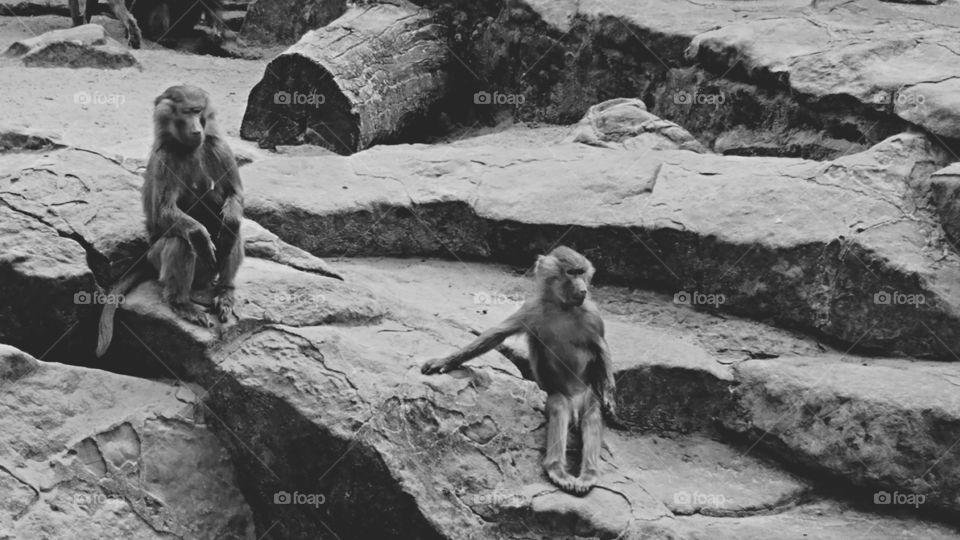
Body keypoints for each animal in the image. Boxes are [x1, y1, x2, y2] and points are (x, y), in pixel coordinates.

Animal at [96, 85, 243, 357]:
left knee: (234, 230)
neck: (188, 148)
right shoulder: (164, 157)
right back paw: (182, 304)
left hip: (209, 272)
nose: (197, 130)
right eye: (186, 112)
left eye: (198, 111)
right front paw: (200, 235)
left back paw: (225, 293)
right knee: (180, 241)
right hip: (158, 259)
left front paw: (228, 221)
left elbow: (234, 195)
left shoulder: (220, 146)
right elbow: (164, 212)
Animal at [421, 246, 619, 495]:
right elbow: (495, 335)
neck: (562, 306)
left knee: (593, 414)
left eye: (582, 272)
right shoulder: (531, 309)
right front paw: (444, 361)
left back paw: (588, 475)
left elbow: (601, 348)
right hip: (558, 394)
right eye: (572, 273)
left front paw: (610, 396)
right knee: (559, 407)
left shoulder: (591, 314)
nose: (583, 288)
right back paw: (557, 469)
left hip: (587, 394)